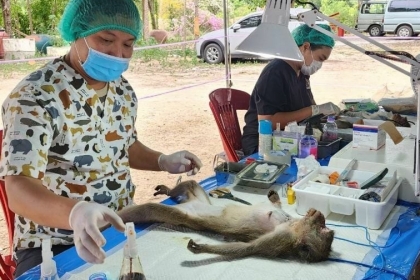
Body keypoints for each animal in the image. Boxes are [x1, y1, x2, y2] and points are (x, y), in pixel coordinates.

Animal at [118, 179, 334, 262]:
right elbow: (276, 206)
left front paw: (201, 248)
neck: (292, 225)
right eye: (323, 225)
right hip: (198, 197)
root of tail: (188, 205)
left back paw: (118, 217)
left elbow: (246, 249)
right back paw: (169, 190)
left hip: (181, 216)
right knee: (191, 183)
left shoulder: (282, 238)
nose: (319, 214)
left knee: (150, 209)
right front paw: (273, 196)